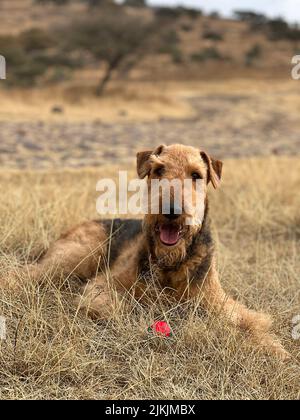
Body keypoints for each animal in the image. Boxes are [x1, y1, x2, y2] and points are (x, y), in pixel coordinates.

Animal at [0, 145, 290, 360]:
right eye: (158, 169)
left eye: (196, 175)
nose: (171, 211)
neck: (171, 264)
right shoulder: (103, 286)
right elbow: (117, 306)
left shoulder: (218, 301)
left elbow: (249, 320)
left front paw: (275, 349)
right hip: (74, 258)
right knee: (23, 274)